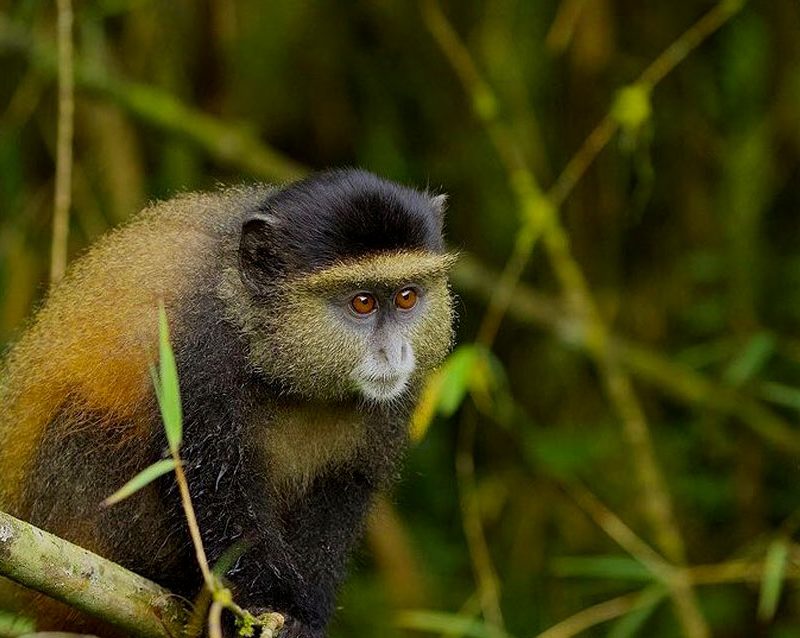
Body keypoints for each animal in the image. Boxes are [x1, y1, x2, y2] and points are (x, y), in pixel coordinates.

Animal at [0, 169, 455, 637]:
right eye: (362, 302)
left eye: (406, 297)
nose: (394, 354)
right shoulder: (202, 353)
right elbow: (216, 486)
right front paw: (273, 605)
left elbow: (342, 488)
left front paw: (307, 617)